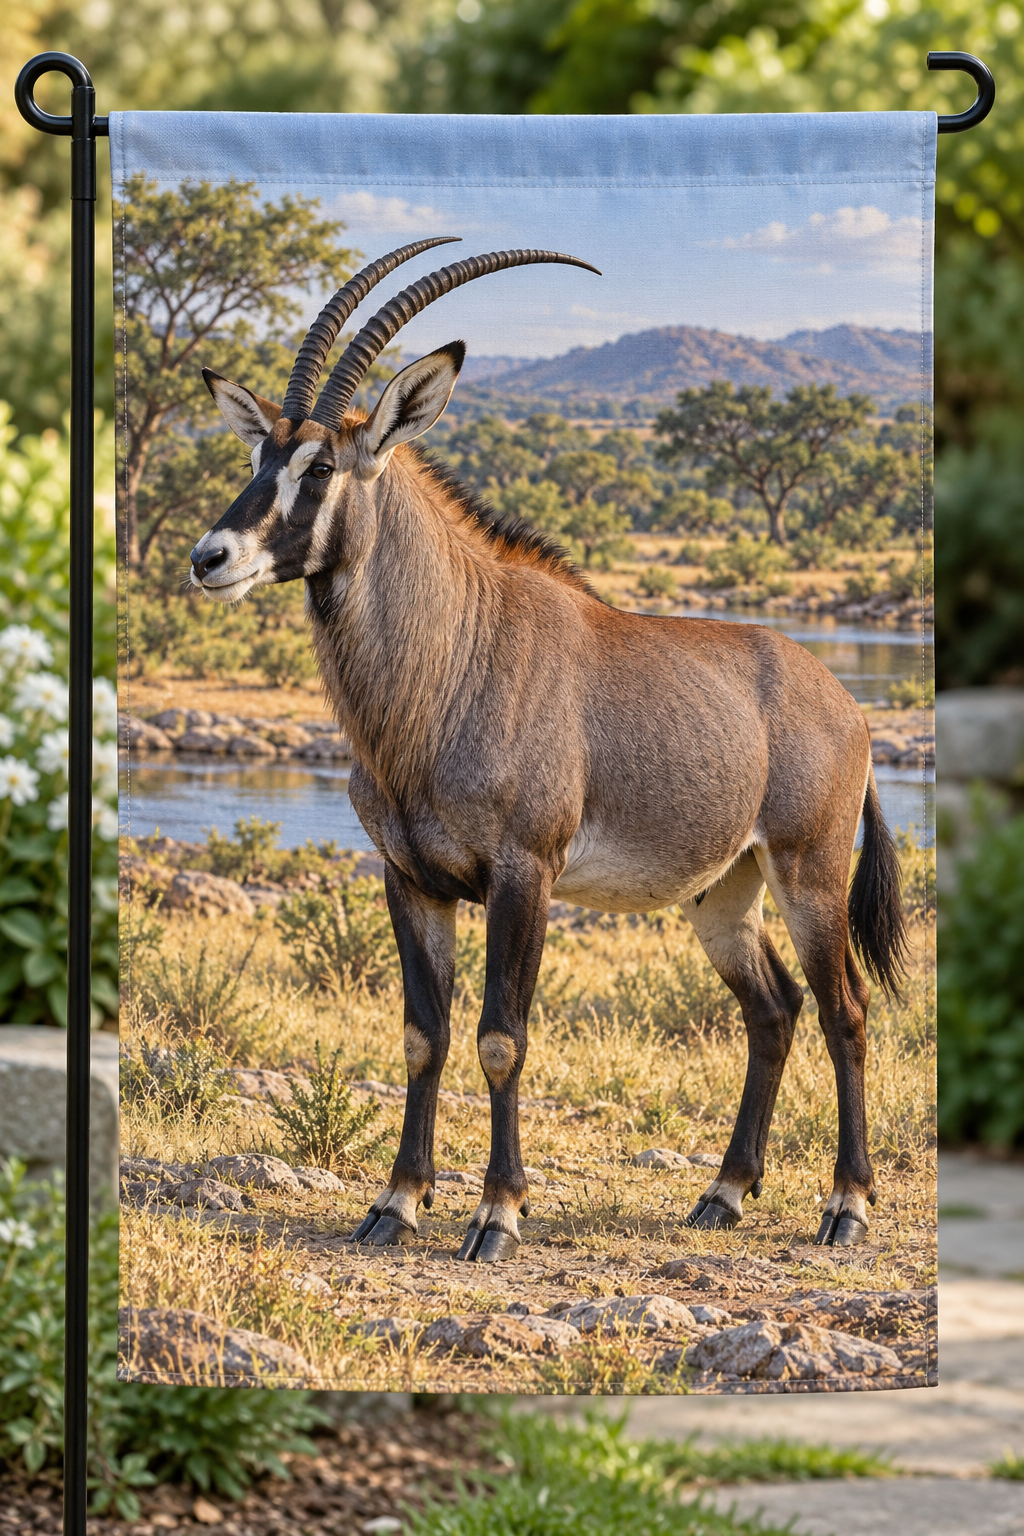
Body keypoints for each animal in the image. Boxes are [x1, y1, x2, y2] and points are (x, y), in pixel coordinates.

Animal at [189, 239, 907, 1263]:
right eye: (260, 453)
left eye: (321, 466)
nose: (211, 557)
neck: (452, 656)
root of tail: (846, 706)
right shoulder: (410, 879)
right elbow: (423, 1035)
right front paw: (395, 1204)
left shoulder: (522, 873)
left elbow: (502, 1037)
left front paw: (497, 1215)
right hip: (722, 894)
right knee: (773, 1010)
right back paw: (724, 1193)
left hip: (807, 872)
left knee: (845, 1010)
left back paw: (846, 1205)